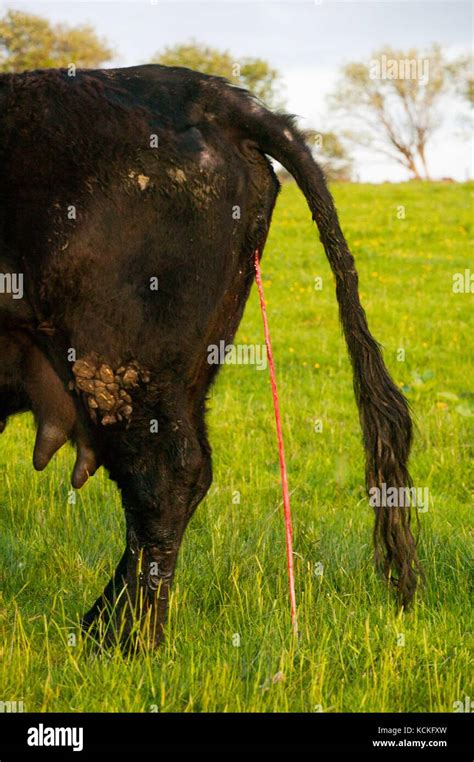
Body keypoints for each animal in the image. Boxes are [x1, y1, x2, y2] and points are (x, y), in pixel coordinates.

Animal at [0, 67, 422, 648]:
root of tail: (210, 94)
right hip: (189, 370)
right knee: (187, 476)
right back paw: (100, 629)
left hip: (117, 365)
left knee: (163, 480)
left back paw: (123, 641)